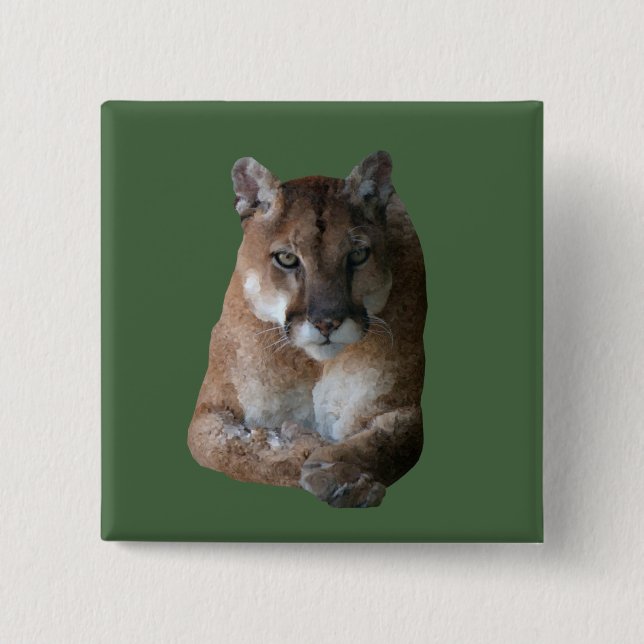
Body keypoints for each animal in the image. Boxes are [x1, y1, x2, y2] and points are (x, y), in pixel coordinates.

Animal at [187, 151, 426, 508]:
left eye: (357, 254)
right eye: (287, 258)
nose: (327, 322)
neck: (311, 363)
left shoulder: (400, 409)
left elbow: (386, 444)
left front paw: (340, 477)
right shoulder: (210, 411)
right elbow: (235, 453)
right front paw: (305, 446)